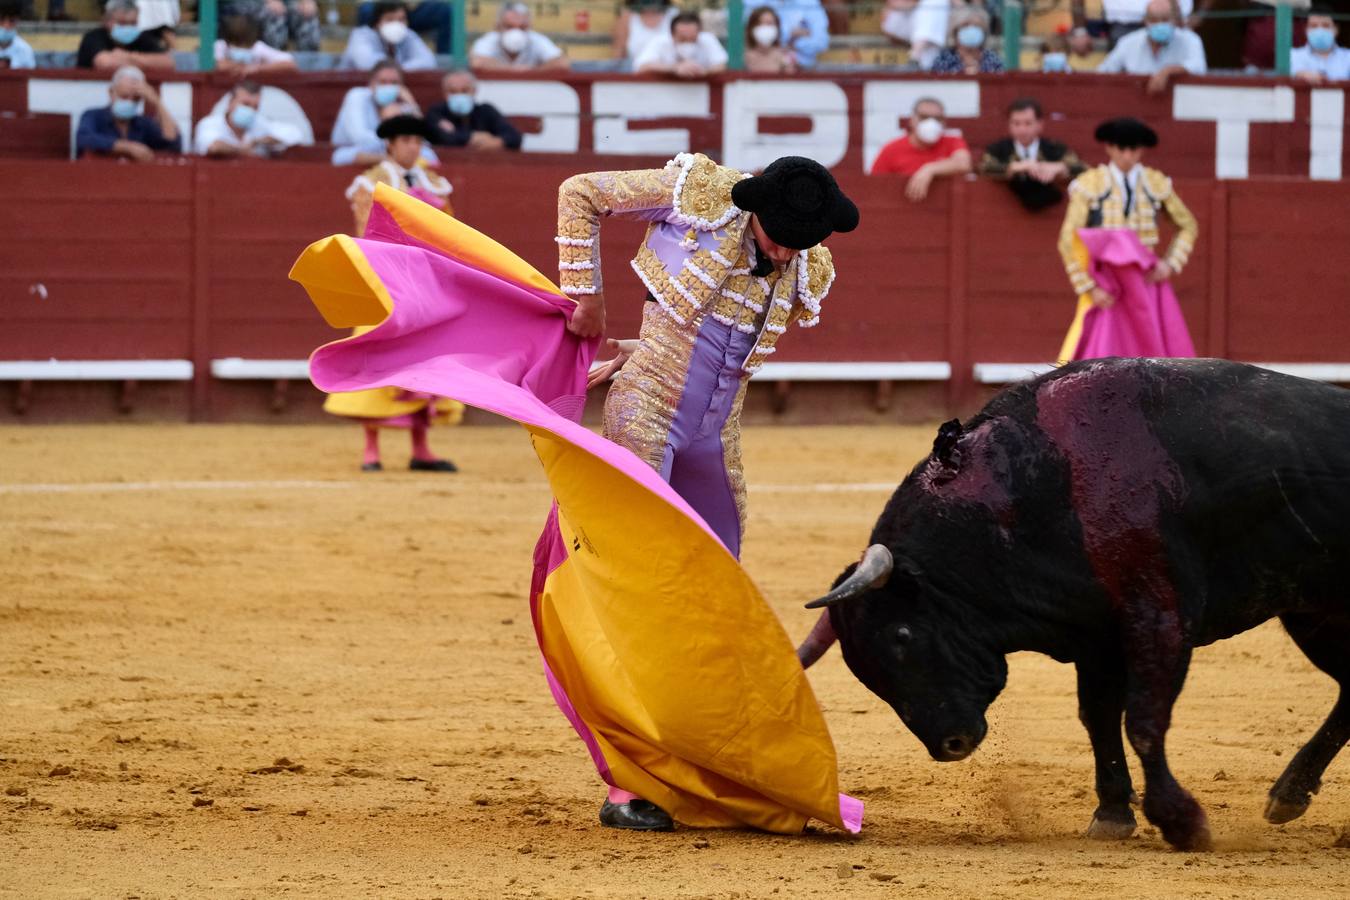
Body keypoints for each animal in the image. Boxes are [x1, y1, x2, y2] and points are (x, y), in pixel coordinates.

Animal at [799, 358, 1350, 852]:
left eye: (903, 635)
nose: (950, 745)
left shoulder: (1159, 616)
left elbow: (1142, 719)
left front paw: (1182, 822)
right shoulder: (1098, 636)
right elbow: (1098, 717)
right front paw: (1112, 814)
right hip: (1315, 615)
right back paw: (1289, 794)